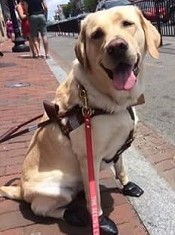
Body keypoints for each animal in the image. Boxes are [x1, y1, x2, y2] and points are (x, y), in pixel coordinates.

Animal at [0, 5, 160, 235]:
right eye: (97, 34)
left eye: (128, 24)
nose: (116, 47)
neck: (113, 101)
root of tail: (20, 189)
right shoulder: (89, 157)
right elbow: (96, 200)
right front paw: (100, 220)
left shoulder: (119, 147)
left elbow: (121, 167)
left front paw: (127, 186)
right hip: (57, 190)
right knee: (42, 209)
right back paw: (76, 214)